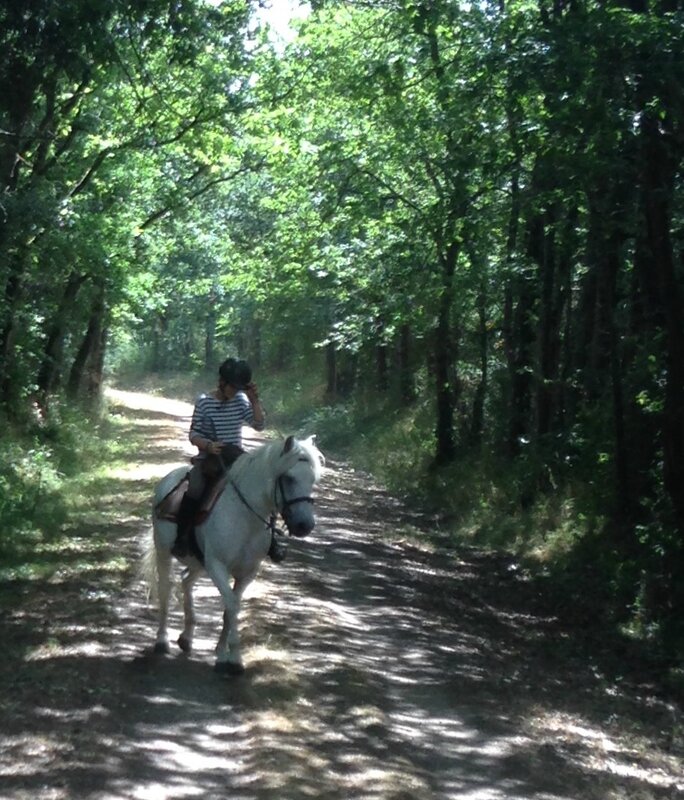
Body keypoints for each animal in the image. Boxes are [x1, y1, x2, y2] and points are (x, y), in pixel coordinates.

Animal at [142, 434, 324, 672]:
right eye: (289, 478)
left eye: (313, 480)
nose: (305, 526)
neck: (245, 517)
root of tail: (169, 479)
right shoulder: (217, 566)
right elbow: (231, 605)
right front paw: (233, 658)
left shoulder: (247, 572)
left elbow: (231, 608)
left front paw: (224, 654)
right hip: (165, 552)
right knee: (165, 588)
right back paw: (162, 641)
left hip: (199, 562)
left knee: (186, 581)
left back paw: (187, 638)